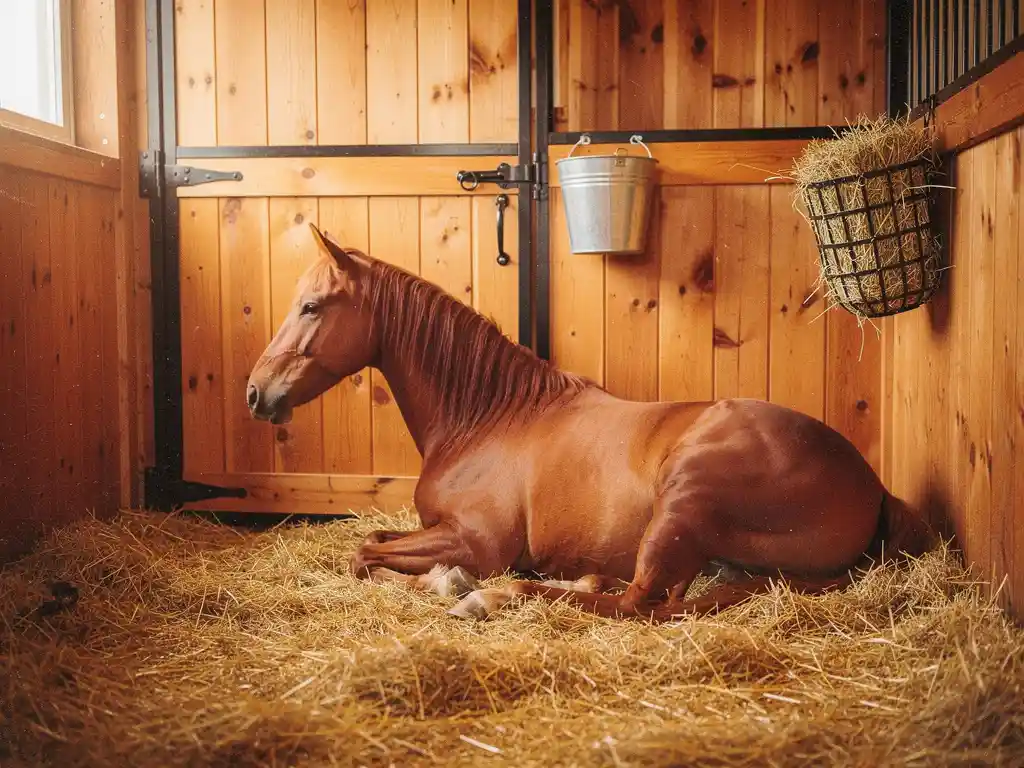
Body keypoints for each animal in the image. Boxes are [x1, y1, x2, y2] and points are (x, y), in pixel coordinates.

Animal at [245, 223, 937, 623]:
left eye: (311, 306)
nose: (256, 392)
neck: (485, 418)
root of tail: (871, 485)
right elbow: (371, 543)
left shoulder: (478, 540)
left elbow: (364, 555)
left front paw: (451, 582)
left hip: (682, 501)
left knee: (637, 603)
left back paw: (492, 597)